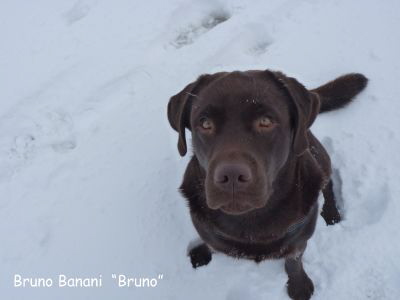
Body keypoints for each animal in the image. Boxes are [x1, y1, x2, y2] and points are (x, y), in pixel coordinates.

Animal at [167, 69, 368, 298]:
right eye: (205, 124)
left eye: (265, 121)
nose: (231, 176)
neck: (250, 222)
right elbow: (210, 241)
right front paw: (202, 251)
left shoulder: (299, 240)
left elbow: (293, 261)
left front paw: (299, 285)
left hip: (318, 157)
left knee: (328, 183)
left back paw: (332, 212)